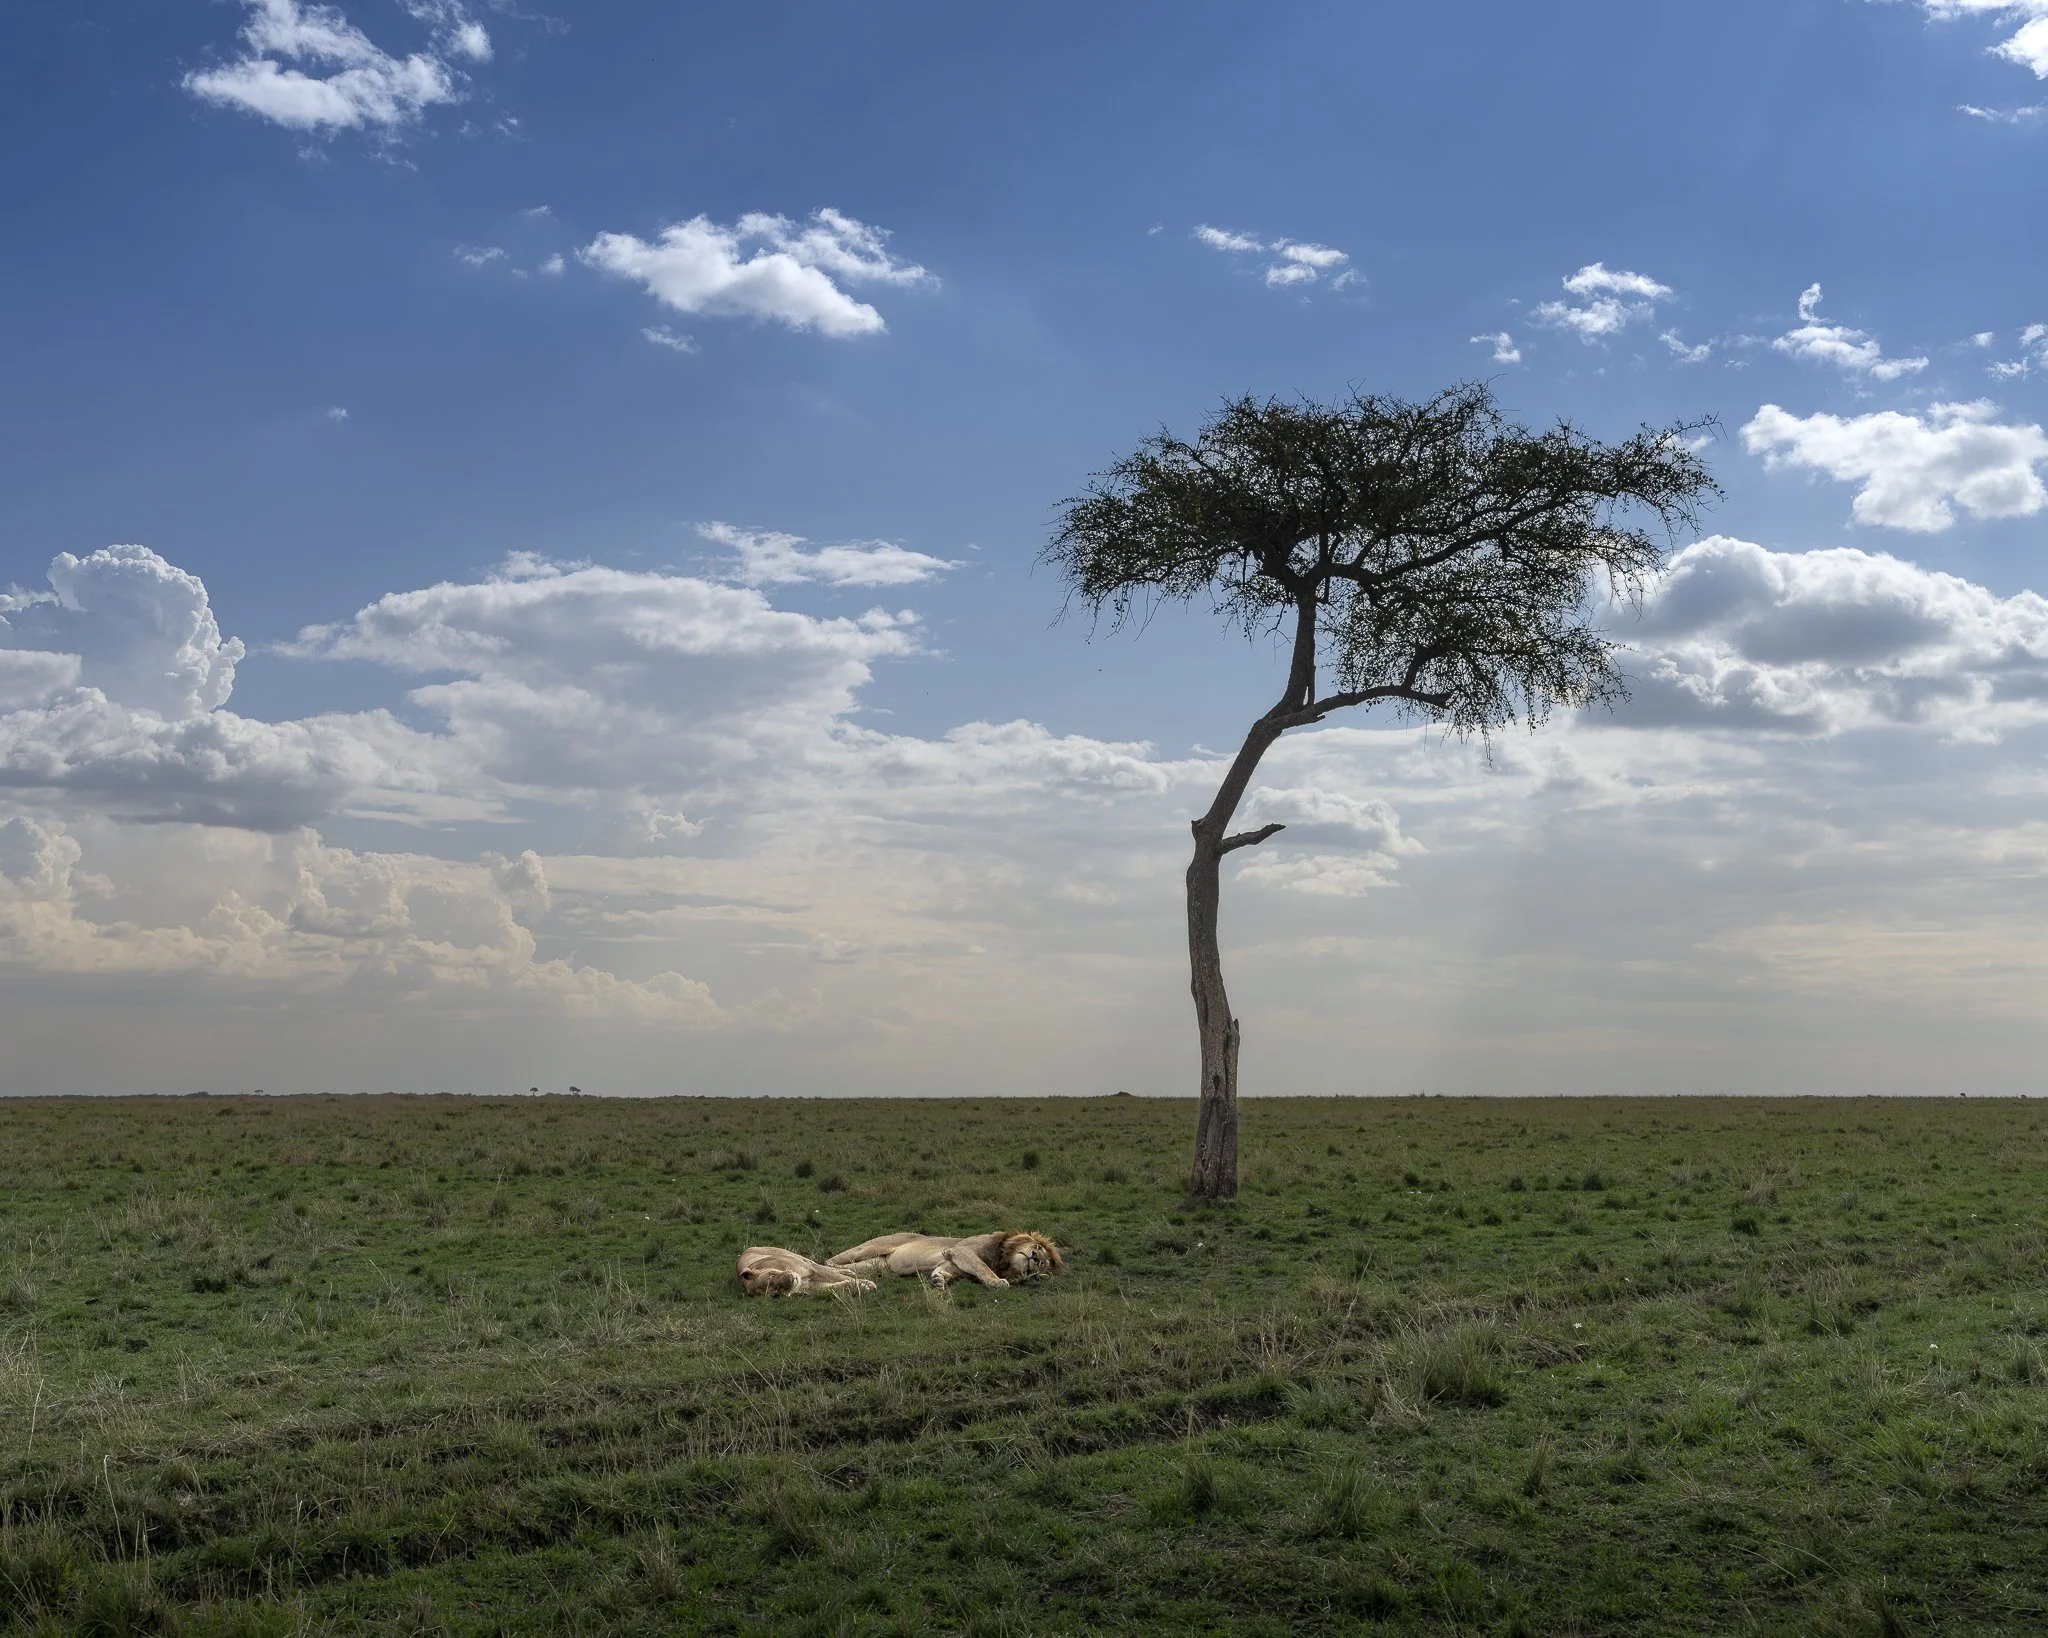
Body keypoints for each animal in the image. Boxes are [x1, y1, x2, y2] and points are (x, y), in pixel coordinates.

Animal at [734, 1245, 879, 1298]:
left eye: (772, 1275)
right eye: (776, 1292)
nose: (790, 1279)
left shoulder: (811, 1269)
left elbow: (838, 1276)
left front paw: (866, 1283)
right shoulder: (811, 1287)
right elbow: (835, 1286)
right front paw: (861, 1286)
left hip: (795, 1256)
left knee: (819, 1263)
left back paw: (848, 1271)